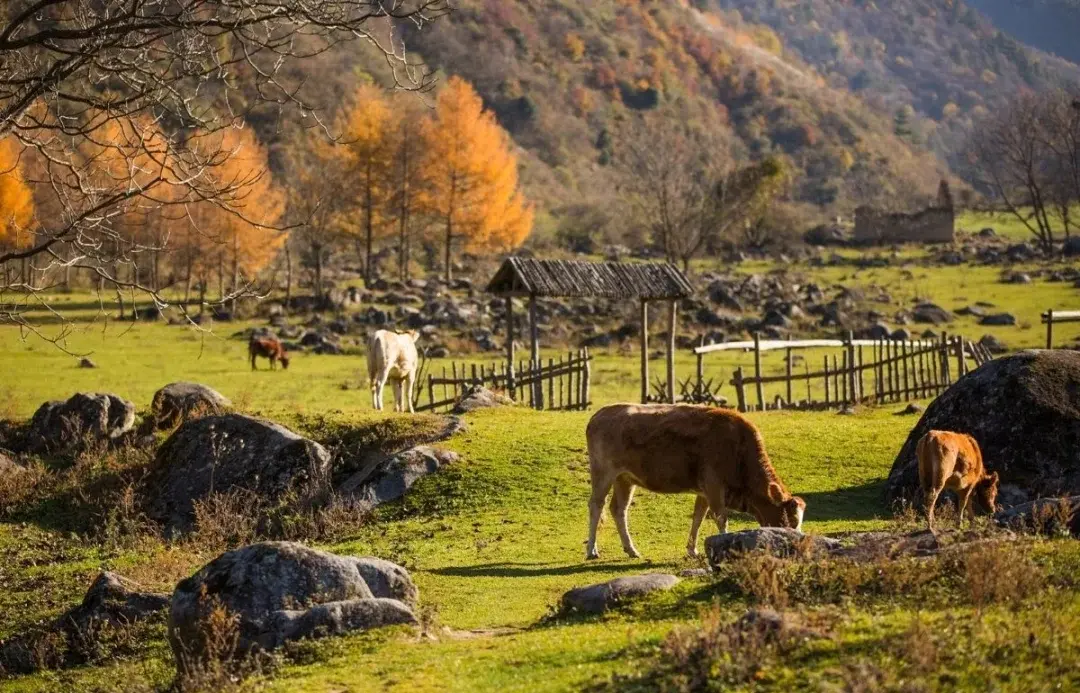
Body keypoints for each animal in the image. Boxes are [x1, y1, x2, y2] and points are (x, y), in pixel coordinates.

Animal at [587, 401, 807, 556]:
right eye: (790, 521)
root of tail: (600, 414)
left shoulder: (704, 491)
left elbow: (698, 517)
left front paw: (692, 550)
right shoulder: (714, 486)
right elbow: (720, 518)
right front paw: (723, 543)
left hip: (624, 479)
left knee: (619, 509)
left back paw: (631, 550)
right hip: (603, 473)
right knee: (596, 505)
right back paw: (592, 550)